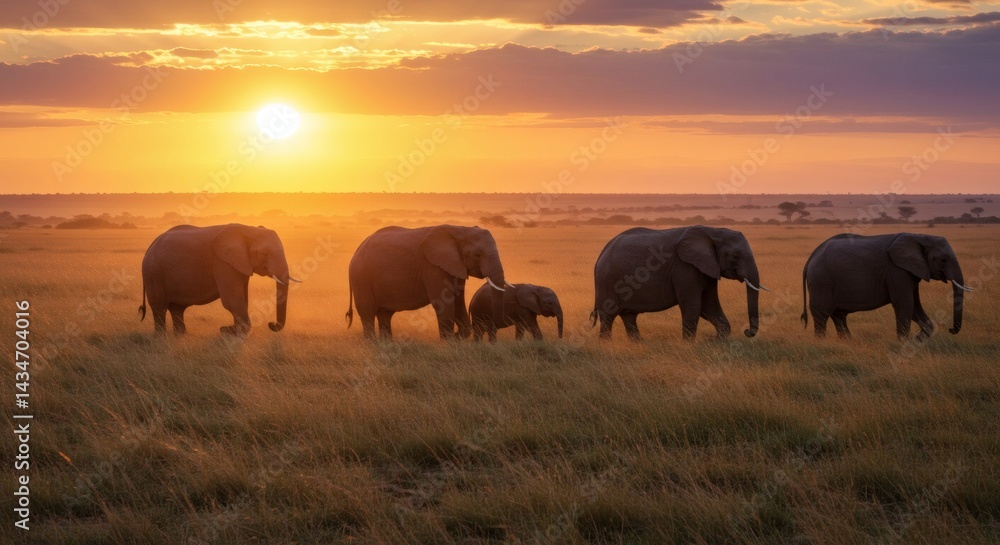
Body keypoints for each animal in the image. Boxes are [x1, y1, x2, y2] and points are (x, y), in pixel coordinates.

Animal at [139, 224, 300, 335]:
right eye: (264, 253)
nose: (271, 324)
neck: (249, 230)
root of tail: (150, 247)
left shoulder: (239, 264)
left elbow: (242, 298)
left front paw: (231, 330)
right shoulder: (223, 263)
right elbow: (232, 301)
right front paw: (229, 330)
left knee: (177, 309)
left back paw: (180, 335)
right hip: (153, 272)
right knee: (159, 308)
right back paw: (161, 337)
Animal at [345, 225, 506, 340]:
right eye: (477, 255)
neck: (460, 230)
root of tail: (356, 251)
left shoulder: (457, 266)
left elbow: (459, 301)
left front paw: (456, 338)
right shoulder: (433, 267)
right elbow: (443, 304)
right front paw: (448, 343)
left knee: (385, 315)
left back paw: (385, 344)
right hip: (361, 278)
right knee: (367, 314)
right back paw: (372, 344)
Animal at [591, 226, 765, 340]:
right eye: (736, 256)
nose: (747, 331)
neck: (714, 231)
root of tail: (601, 254)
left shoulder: (706, 268)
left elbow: (709, 306)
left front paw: (720, 340)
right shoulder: (685, 268)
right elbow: (693, 307)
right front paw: (689, 345)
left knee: (629, 316)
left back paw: (637, 344)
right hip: (607, 279)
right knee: (608, 316)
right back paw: (607, 345)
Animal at [802, 233, 971, 340]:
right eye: (943, 260)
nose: (950, 329)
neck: (920, 236)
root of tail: (811, 258)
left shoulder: (910, 272)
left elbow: (914, 306)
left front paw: (918, 339)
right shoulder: (897, 271)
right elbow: (905, 304)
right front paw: (903, 342)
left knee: (839, 315)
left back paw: (847, 341)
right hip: (821, 280)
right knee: (822, 314)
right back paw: (821, 341)